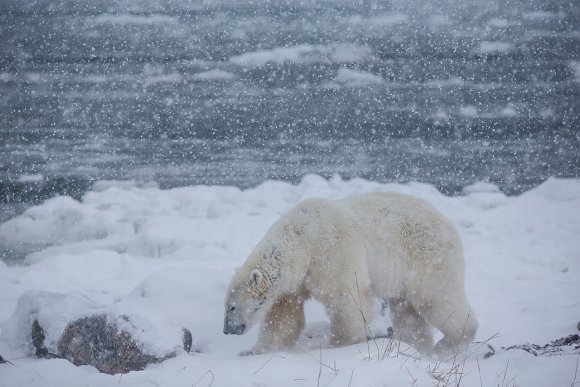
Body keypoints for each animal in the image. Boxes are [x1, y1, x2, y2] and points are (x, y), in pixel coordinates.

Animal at [222, 193, 476, 358]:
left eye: (232, 307)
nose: (227, 330)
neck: (303, 238)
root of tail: (448, 223)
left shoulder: (331, 252)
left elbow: (345, 299)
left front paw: (336, 344)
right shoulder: (293, 285)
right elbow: (284, 317)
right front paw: (253, 351)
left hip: (427, 255)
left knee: (436, 297)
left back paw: (447, 345)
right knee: (407, 311)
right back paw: (414, 347)